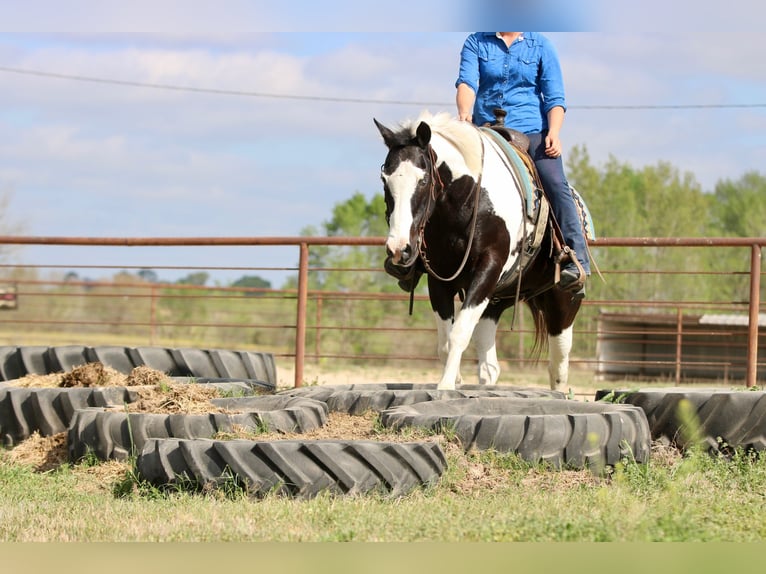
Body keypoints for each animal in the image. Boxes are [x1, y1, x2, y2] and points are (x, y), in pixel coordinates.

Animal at [374, 111, 584, 391]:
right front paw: (455, 380)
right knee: (489, 365)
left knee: (558, 365)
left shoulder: (488, 267)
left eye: (424, 179)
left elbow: (459, 333)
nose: (399, 249)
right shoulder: (440, 280)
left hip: (563, 303)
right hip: (494, 302)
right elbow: (445, 342)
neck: (469, 200)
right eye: (384, 179)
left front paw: (446, 386)